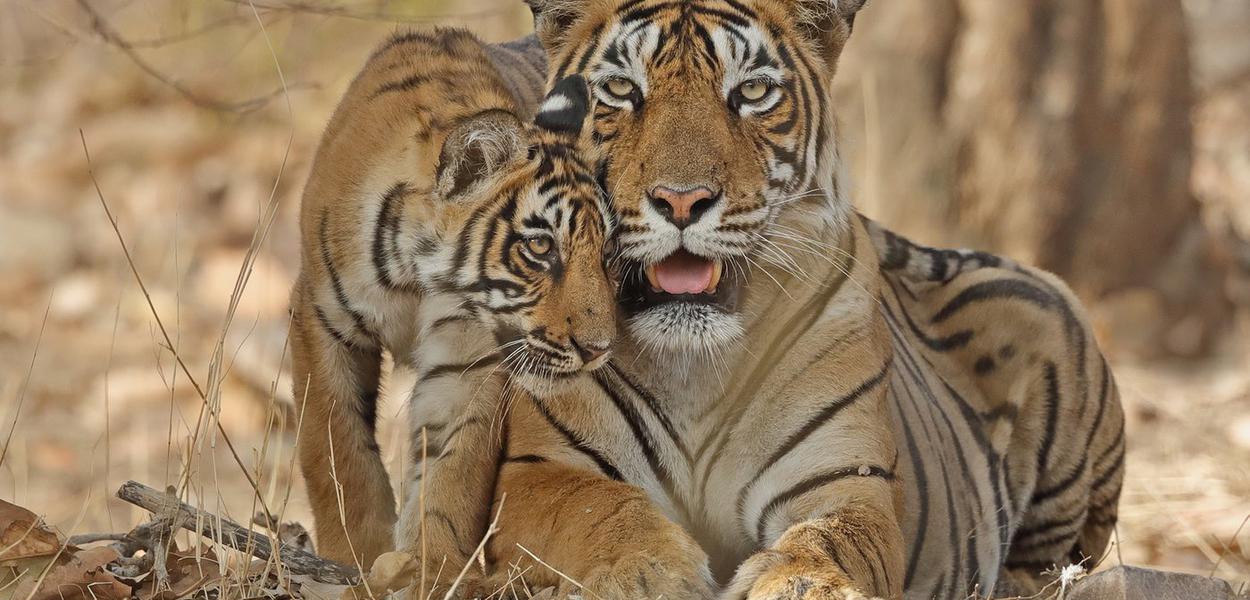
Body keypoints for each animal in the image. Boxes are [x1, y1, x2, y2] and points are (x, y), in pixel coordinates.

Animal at [287, 28, 617, 583]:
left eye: (606, 251)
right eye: (541, 247)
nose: (598, 349)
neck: (416, 276)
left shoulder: (469, 357)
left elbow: (453, 467)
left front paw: (433, 567)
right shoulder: (321, 319)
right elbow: (335, 448)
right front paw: (353, 555)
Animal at [434, 1, 1126, 599]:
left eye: (751, 93)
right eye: (623, 90)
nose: (681, 200)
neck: (694, 365)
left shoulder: (844, 479)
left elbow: (831, 539)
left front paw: (803, 584)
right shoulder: (537, 470)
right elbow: (597, 510)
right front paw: (651, 573)